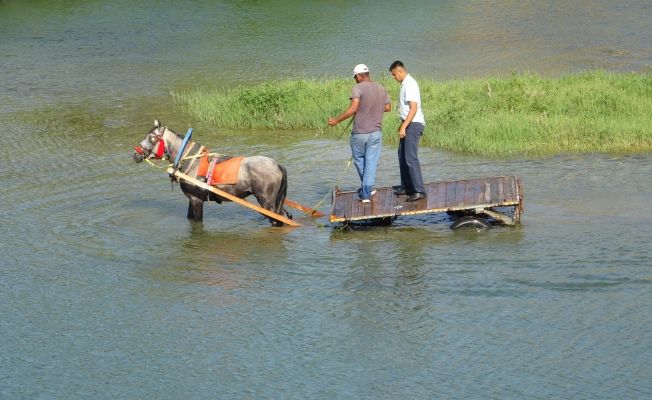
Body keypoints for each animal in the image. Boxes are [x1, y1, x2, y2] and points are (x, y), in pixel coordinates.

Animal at [132, 119, 290, 225]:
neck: (189, 160)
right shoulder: (191, 200)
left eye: (151, 137)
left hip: (267, 202)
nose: (135, 154)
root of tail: (277, 165)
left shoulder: (196, 200)